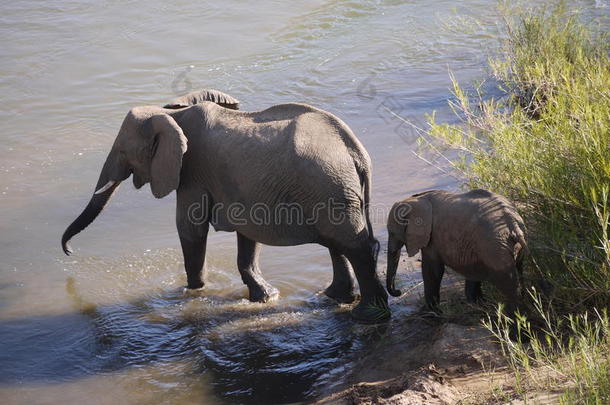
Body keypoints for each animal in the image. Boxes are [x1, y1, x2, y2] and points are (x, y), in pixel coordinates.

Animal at [60, 90, 384, 324]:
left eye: (123, 152)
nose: (69, 251)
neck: (170, 113)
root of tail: (356, 151)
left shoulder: (192, 171)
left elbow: (190, 228)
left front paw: (193, 292)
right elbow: (247, 234)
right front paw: (265, 298)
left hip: (329, 185)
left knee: (353, 245)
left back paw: (367, 315)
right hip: (333, 190)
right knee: (339, 243)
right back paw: (334, 298)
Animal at [388, 188, 524, 314]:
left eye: (392, 232)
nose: (398, 292)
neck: (414, 199)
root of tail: (513, 224)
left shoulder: (433, 237)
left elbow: (432, 270)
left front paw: (430, 311)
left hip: (494, 248)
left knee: (509, 285)